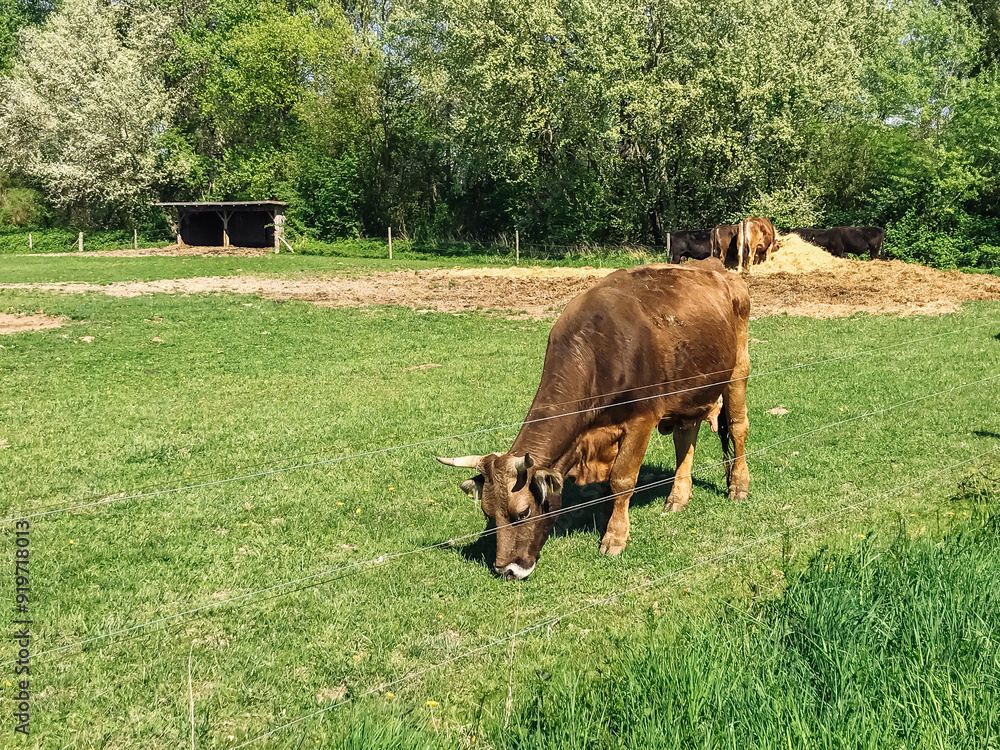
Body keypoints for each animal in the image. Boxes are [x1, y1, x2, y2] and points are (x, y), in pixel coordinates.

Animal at [438, 258, 752, 580]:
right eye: (489, 513)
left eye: (523, 512)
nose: (506, 570)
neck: (599, 348)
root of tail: (717, 268)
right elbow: (607, 485)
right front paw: (607, 515)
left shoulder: (642, 418)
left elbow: (622, 479)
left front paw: (615, 535)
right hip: (689, 392)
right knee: (685, 438)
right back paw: (678, 497)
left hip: (738, 369)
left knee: (738, 428)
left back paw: (739, 486)